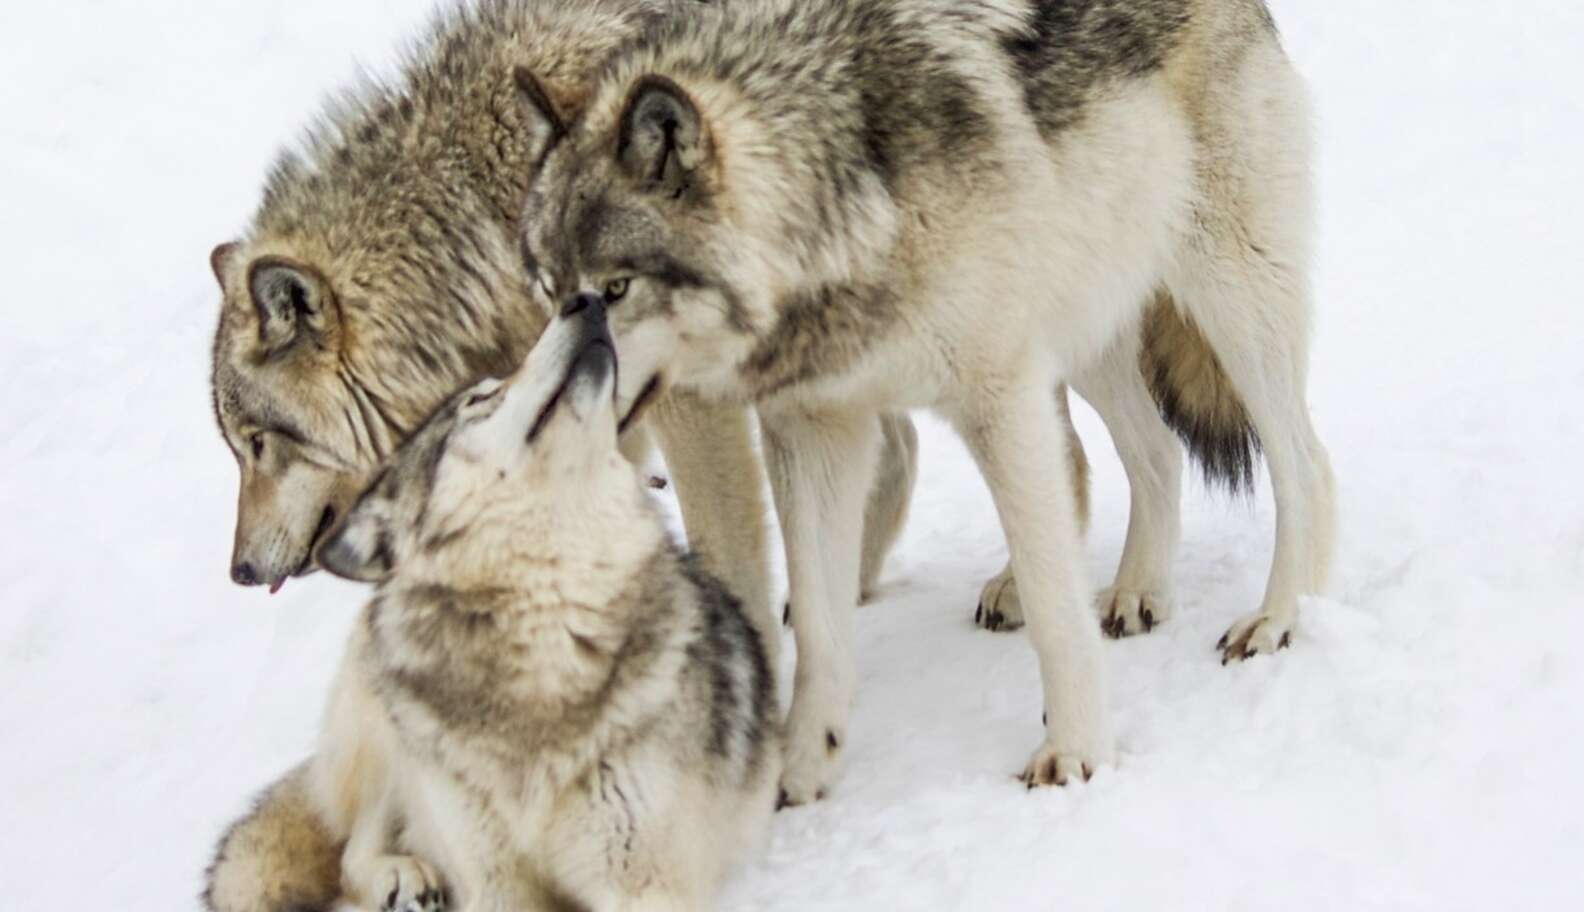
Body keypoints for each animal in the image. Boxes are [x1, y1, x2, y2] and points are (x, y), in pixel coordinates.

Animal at [205, 306, 780, 912]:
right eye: (480, 398)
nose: (586, 302)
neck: (544, 624)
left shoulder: (643, 883)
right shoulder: (497, 883)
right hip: (390, 731)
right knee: (354, 848)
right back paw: (403, 880)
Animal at [514, 0, 1337, 802]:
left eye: (616, 289)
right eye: (552, 292)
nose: (548, 381)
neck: (845, 191)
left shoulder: (1002, 398)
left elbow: (1052, 602)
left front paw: (1074, 753)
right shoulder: (814, 428)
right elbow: (818, 619)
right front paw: (799, 768)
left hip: (1226, 301)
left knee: (1304, 461)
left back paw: (1277, 617)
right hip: (1087, 330)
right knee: (1159, 452)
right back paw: (1139, 591)